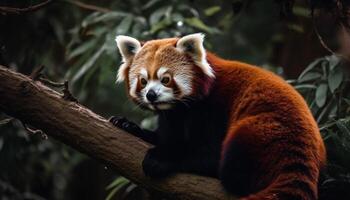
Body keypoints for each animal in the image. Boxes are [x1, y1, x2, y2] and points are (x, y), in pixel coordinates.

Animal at [110, 33, 326, 199]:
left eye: (166, 79)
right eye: (143, 81)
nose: (151, 95)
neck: (183, 107)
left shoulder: (214, 110)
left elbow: (209, 154)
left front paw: (161, 158)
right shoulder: (173, 117)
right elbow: (169, 138)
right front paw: (128, 125)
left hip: (262, 131)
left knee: (231, 170)